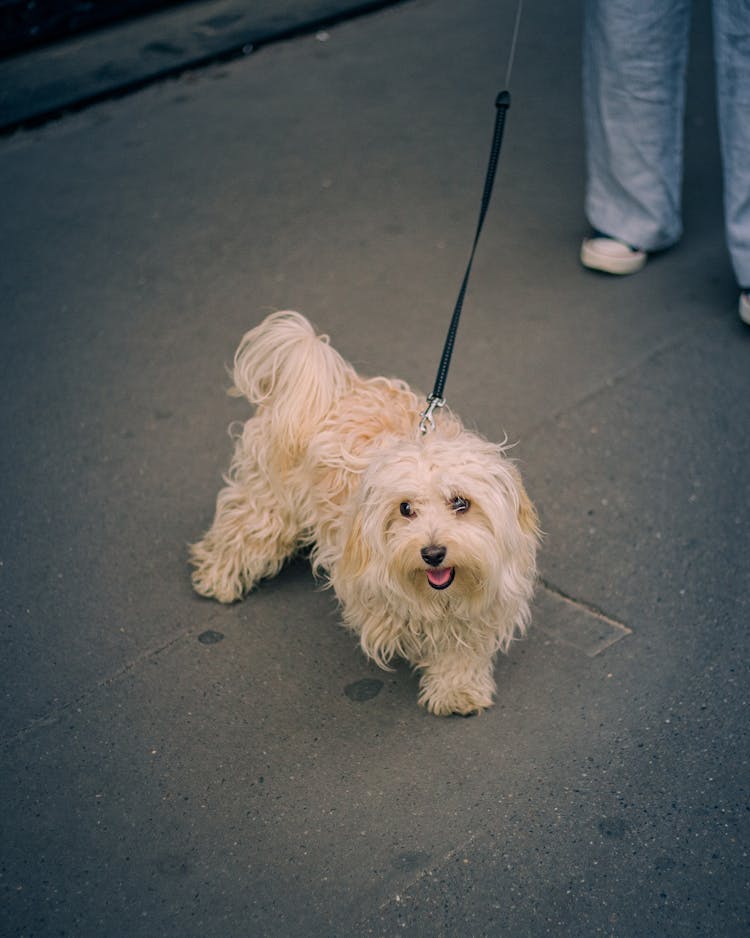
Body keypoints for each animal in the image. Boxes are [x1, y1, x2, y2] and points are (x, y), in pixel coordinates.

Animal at [189, 310, 540, 712]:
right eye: (405, 508)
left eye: (460, 503)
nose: (432, 553)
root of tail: (338, 387)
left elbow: (461, 644)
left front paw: (456, 689)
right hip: (271, 504)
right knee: (239, 532)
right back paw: (217, 577)